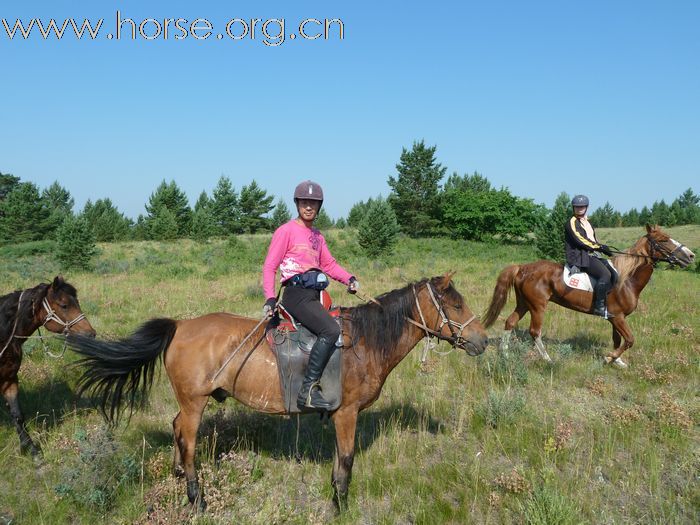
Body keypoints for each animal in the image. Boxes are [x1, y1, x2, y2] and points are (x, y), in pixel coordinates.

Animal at [69, 272, 486, 510]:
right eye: (456, 304)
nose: (483, 340)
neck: (365, 342)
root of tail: (180, 326)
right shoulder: (347, 413)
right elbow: (346, 462)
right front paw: (341, 505)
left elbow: (339, 462)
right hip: (194, 403)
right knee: (187, 440)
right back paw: (196, 497)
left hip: (187, 402)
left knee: (175, 428)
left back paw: (176, 475)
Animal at [484, 225, 696, 368]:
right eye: (664, 240)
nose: (691, 256)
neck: (627, 279)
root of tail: (522, 268)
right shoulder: (618, 318)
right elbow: (629, 340)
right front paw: (609, 357)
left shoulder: (614, 318)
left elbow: (617, 340)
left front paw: (618, 361)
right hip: (537, 306)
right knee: (535, 331)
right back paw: (548, 359)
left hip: (524, 303)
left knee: (510, 322)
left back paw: (505, 355)